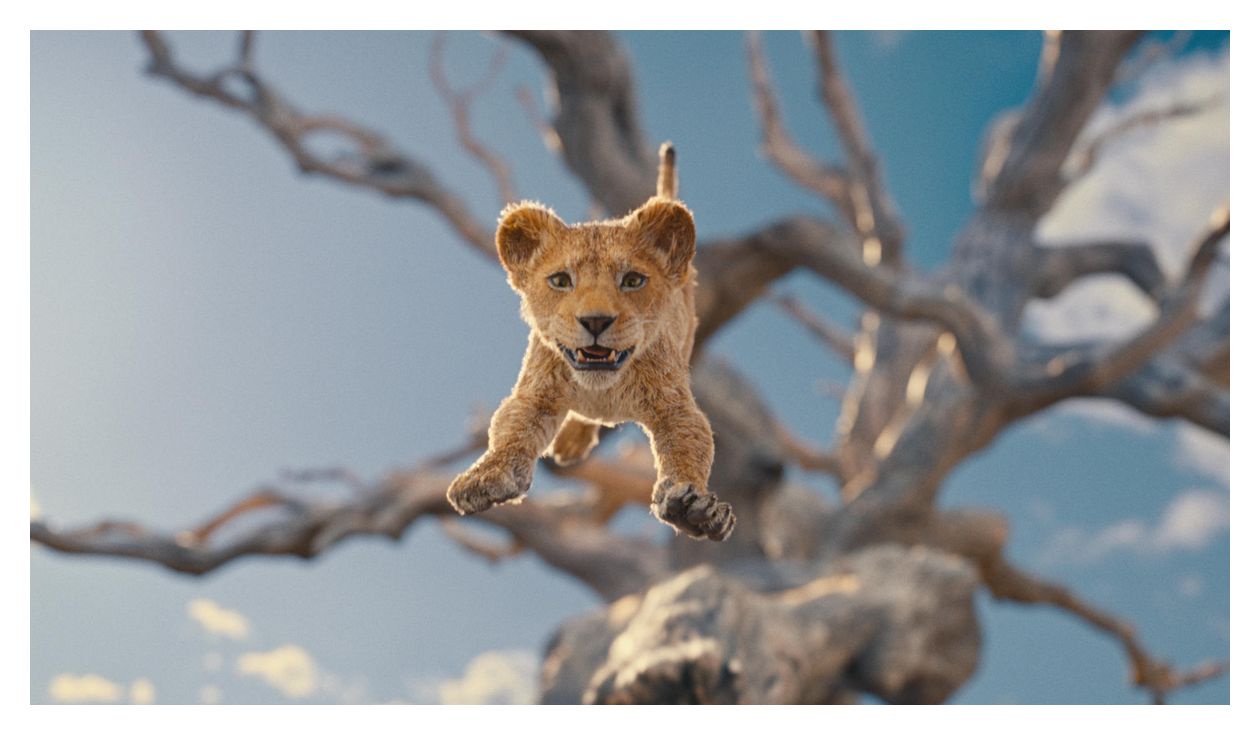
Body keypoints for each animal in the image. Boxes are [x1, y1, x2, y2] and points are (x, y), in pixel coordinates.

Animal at [445, 144, 735, 541]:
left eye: (632, 280)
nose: (595, 321)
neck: (601, 388)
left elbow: (690, 445)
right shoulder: (535, 393)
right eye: (560, 280)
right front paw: (485, 477)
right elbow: (510, 431)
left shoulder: (674, 406)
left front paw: (695, 509)